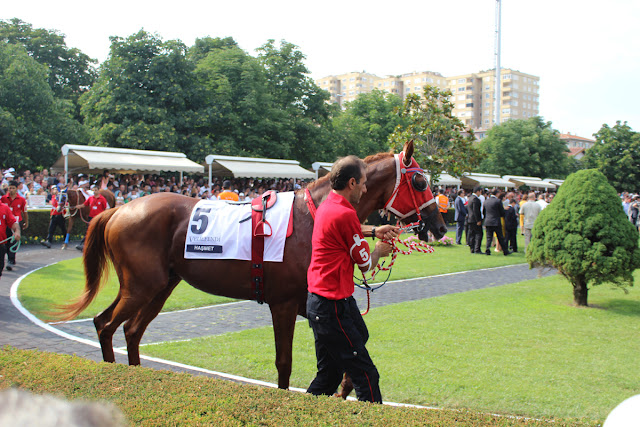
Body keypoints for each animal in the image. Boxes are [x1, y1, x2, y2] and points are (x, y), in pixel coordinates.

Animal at [60, 142, 448, 390]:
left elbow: (349, 360)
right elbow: (285, 363)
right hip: (141, 286)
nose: (441, 225)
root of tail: (118, 209)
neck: (312, 216)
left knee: (131, 331)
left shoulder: (308, 303)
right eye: (420, 181)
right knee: (106, 324)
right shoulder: (284, 303)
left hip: (160, 287)